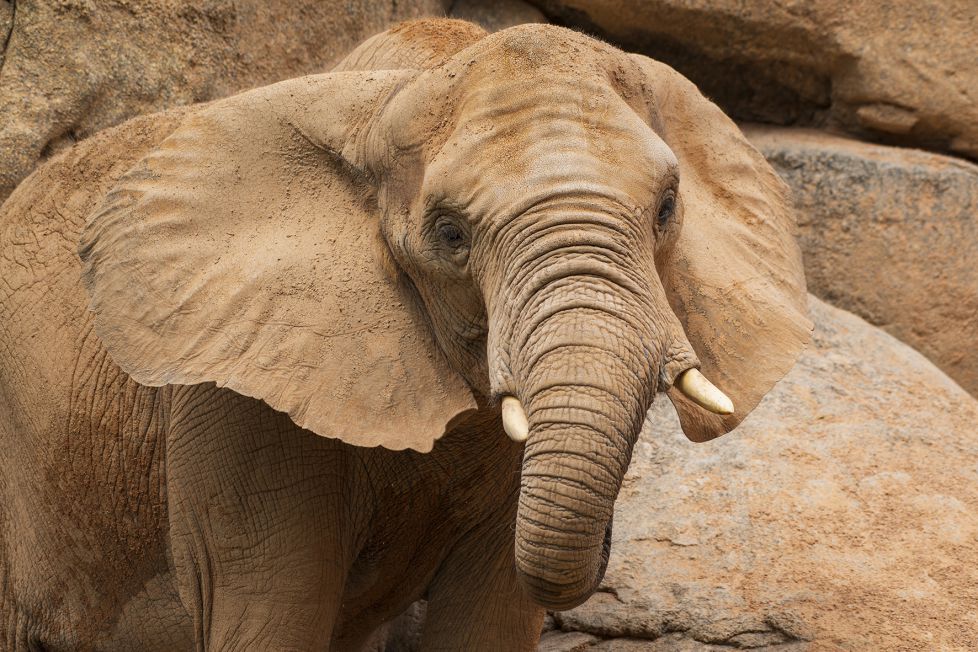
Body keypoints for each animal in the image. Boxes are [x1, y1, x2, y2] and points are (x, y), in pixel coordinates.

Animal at [0, 18, 811, 651]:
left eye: (669, 206)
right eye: (449, 233)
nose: (612, 547)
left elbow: (491, 614)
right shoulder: (232, 400)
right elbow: (272, 613)